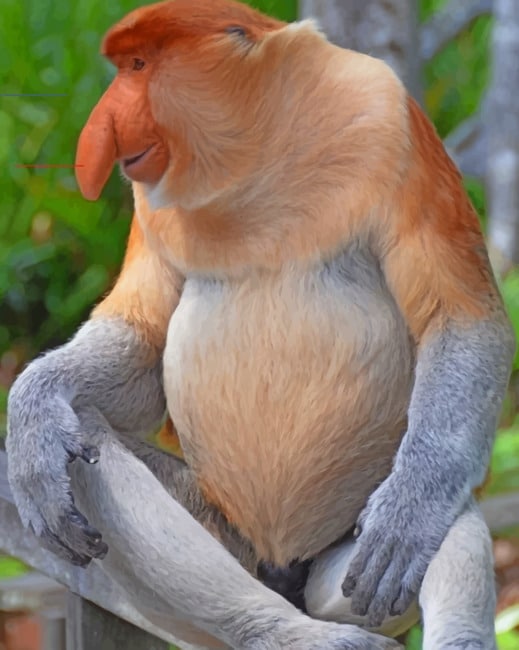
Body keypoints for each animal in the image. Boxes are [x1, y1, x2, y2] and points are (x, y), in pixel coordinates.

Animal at [5, 1, 515, 649]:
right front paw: (32, 415)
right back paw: (280, 630)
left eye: (138, 66)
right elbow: (142, 342)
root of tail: (282, 570)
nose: (103, 123)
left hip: (346, 570)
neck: (254, 155)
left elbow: (460, 321)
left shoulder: (393, 122)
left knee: (453, 515)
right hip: (228, 535)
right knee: (88, 440)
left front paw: (407, 517)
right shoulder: (150, 198)